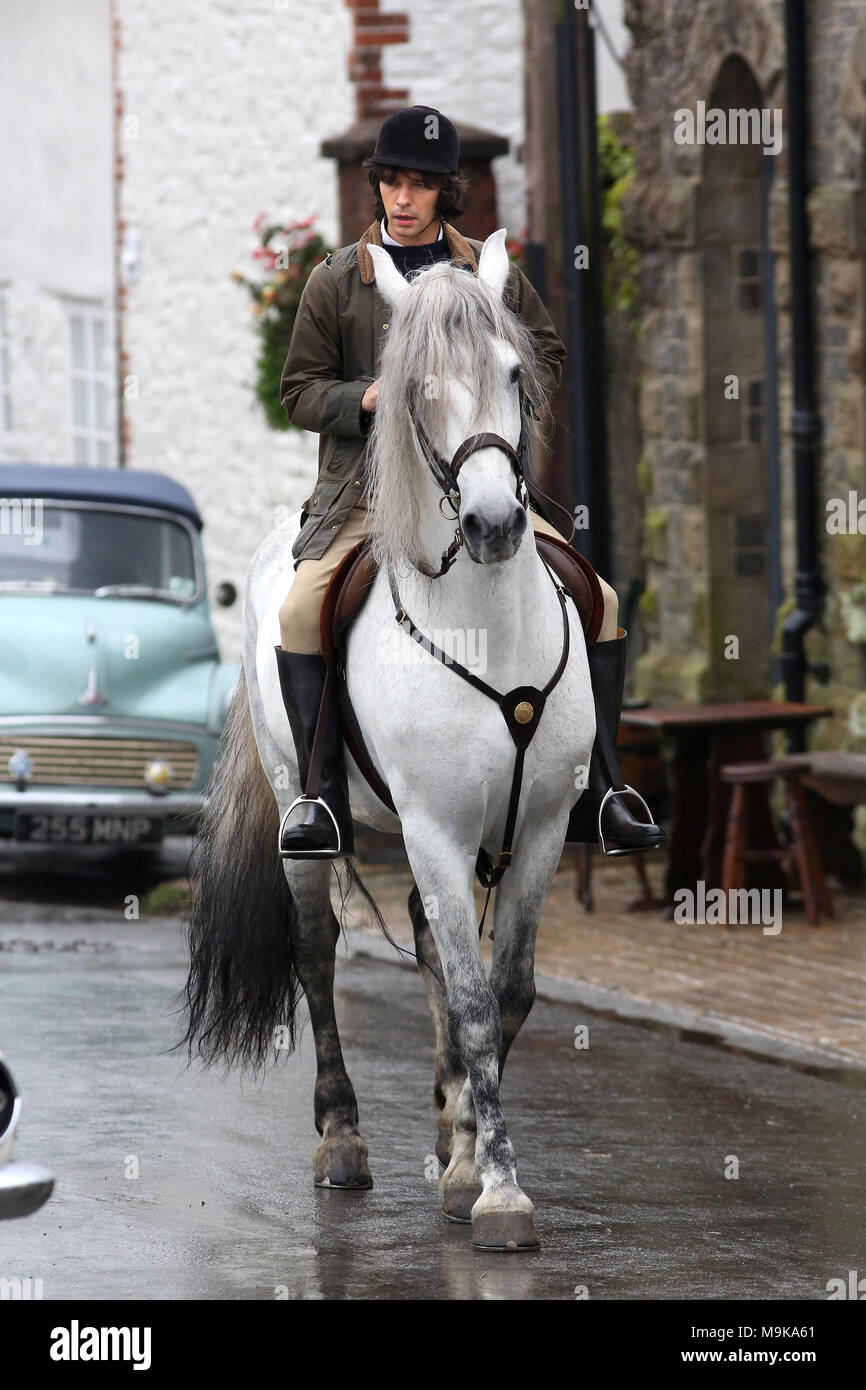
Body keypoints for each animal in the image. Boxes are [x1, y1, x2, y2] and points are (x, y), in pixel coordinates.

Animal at [184, 227, 594, 1251]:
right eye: (418, 389)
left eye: (513, 373)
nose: (492, 524)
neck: (487, 625)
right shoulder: (437, 830)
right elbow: (476, 1004)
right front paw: (500, 1193)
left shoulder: (536, 831)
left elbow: (504, 993)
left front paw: (466, 1160)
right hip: (308, 812)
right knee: (317, 952)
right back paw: (341, 1141)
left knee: (426, 950)